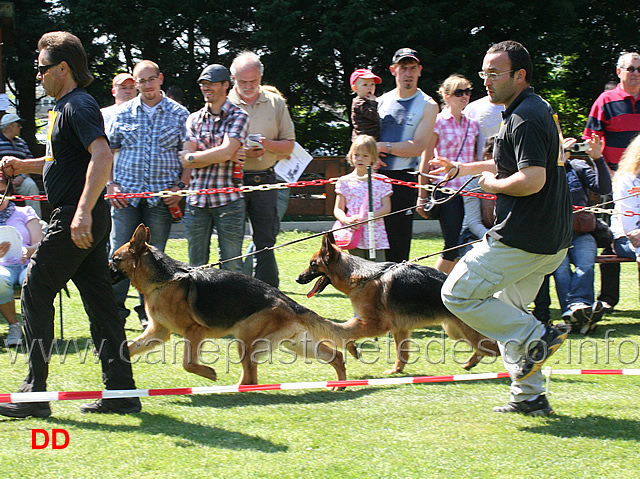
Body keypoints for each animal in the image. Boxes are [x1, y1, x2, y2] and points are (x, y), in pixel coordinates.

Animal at [111, 224, 360, 386]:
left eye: (114, 259)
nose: (103, 270)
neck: (164, 280)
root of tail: (287, 300)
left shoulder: (194, 331)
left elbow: (188, 364)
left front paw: (208, 373)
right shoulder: (157, 333)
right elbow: (129, 347)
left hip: (247, 343)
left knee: (250, 379)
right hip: (295, 344)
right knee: (335, 356)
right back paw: (340, 385)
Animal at [296, 233, 500, 376]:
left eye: (313, 265)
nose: (298, 278)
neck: (360, 277)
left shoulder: (376, 324)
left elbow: (347, 330)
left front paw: (352, 348)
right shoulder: (399, 329)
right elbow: (402, 353)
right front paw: (397, 371)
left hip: (466, 331)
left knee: (495, 347)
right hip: (455, 331)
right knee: (486, 348)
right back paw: (471, 363)